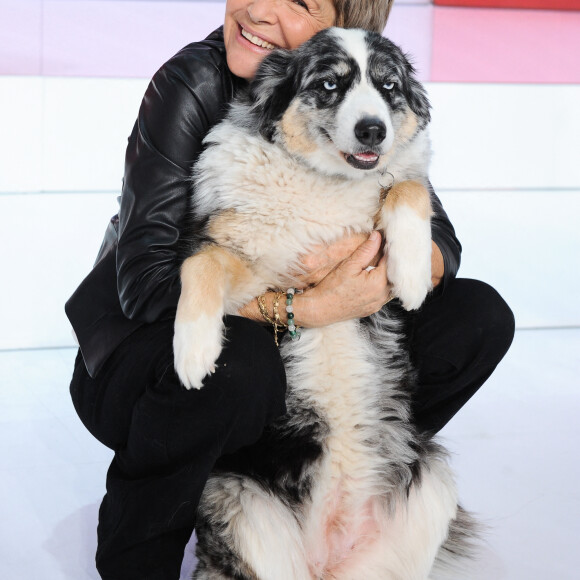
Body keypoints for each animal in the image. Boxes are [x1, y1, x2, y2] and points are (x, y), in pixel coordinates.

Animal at [174, 26, 478, 576]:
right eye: (330, 83)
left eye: (388, 85)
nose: (373, 131)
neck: (325, 182)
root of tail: (330, 558)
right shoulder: (250, 261)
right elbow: (200, 264)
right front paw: (192, 351)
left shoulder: (395, 185)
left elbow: (406, 186)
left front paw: (412, 272)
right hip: (241, 506)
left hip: (433, 486)